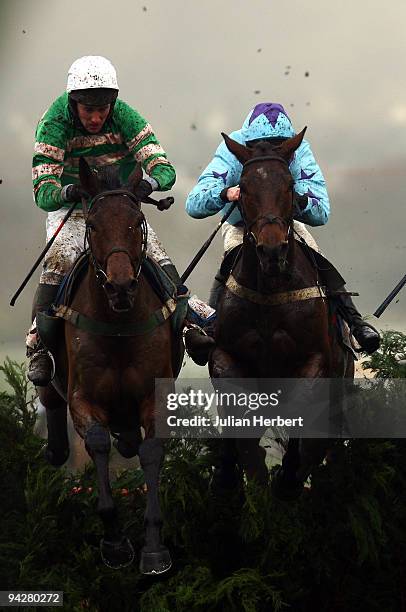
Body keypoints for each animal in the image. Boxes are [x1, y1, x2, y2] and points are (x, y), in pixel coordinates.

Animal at [36, 159, 181, 572]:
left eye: (136, 221)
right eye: (93, 225)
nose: (120, 286)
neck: (118, 325)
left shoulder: (154, 395)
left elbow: (151, 452)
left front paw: (154, 547)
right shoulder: (83, 398)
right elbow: (98, 444)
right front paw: (115, 540)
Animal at [211, 129, 354, 498]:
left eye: (290, 184)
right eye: (243, 186)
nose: (272, 251)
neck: (270, 293)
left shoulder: (314, 362)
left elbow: (301, 411)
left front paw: (286, 478)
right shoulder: (226, 356)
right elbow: (238, 419)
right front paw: (240, 476)